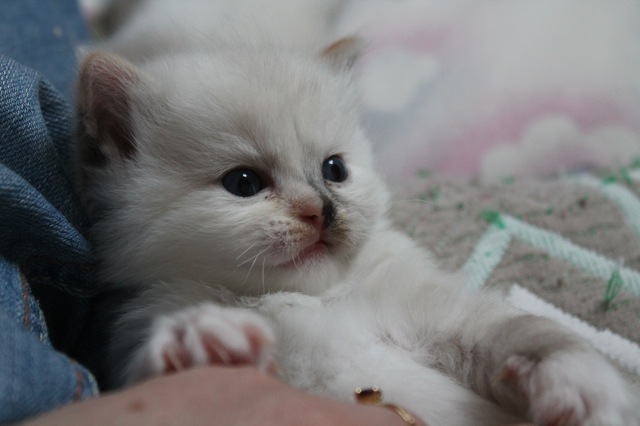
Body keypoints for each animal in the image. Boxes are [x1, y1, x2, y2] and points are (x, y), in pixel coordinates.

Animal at [76, 1, 640, 424]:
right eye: (243, 184)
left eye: (335, 170)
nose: (322, 211)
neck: (309, 301)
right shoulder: (138, 323)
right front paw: (203, 345)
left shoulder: (439, 316)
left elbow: (524, 334)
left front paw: (580, 383)